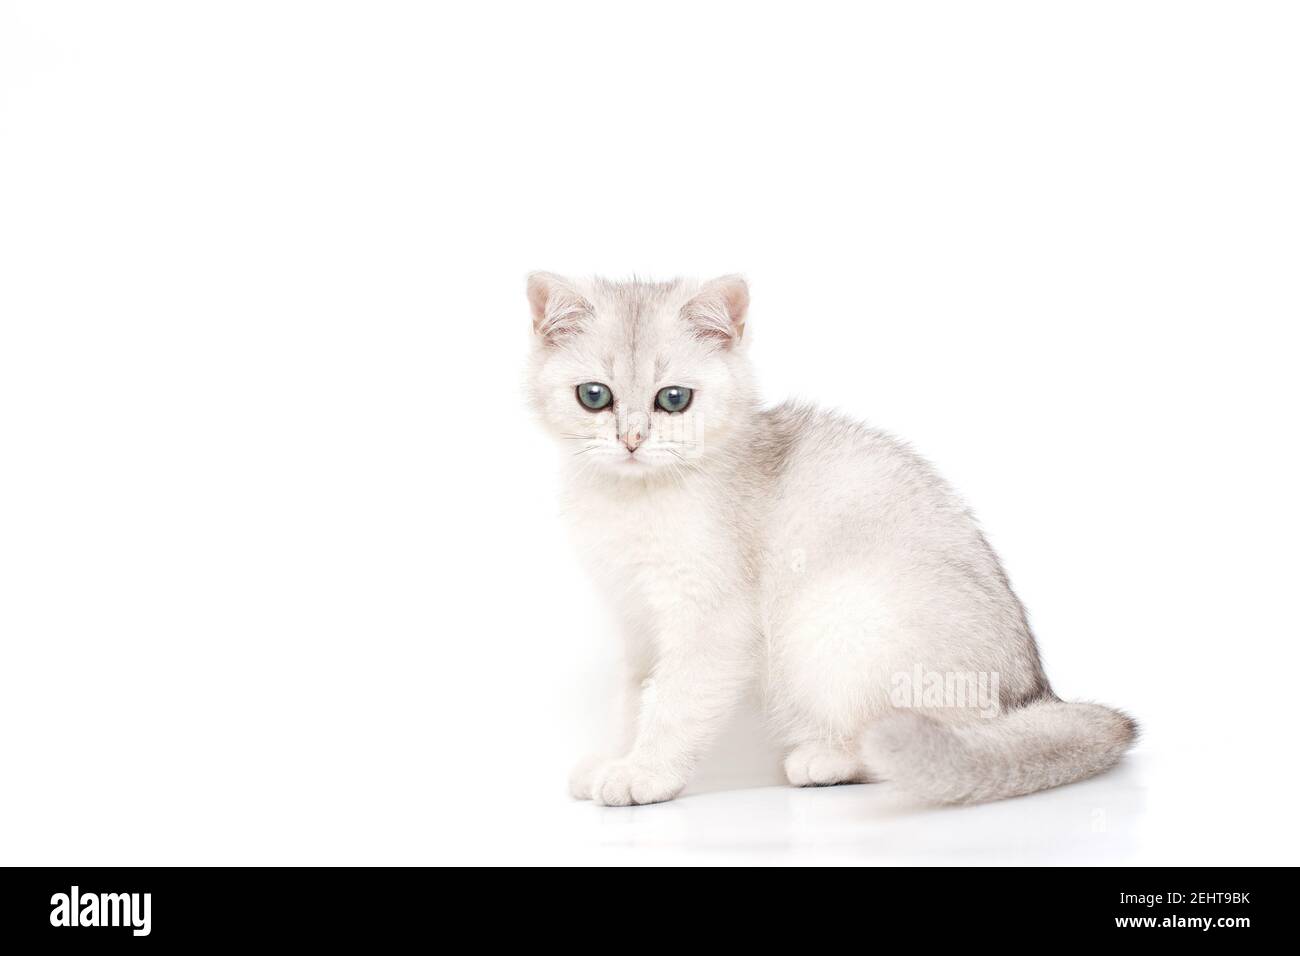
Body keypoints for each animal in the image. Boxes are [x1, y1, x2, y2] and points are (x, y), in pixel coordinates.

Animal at [527, 273, 1138, 806]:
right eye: (594, 396)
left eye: (674, 399)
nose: (630, 440)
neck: (629, 500)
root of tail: (1038, 695)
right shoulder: (634, 620)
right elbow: (632, 701)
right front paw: (614, 759)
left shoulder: (713, 620)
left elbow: (675, 704)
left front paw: (645, 773)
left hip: (828, 616)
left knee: (935, 743)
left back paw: (828, 761)